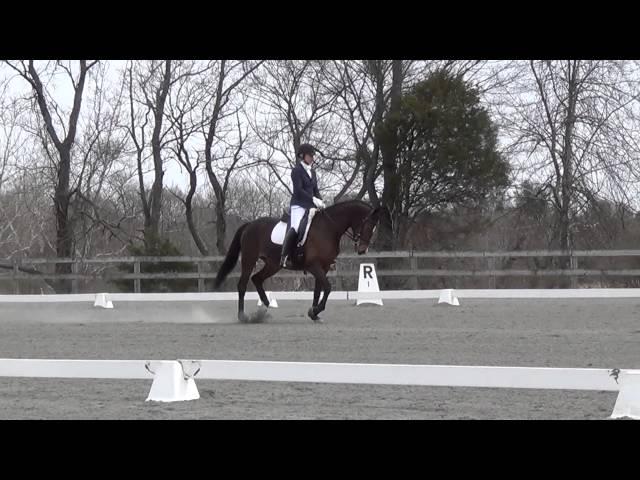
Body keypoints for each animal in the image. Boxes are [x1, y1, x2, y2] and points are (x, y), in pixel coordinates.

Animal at [212, 199, 382, 322]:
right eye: (368, 225)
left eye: (375, 227)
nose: (362, 250)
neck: (328, 228)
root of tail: (249, 225)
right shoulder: (314, 266)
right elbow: (327, 288)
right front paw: (315, 310)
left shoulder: (324, 267)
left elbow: (318, 290)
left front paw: (314, 314)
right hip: (249, 259)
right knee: (242, 285)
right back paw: (243, 316)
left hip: (273, 264)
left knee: (257, 279)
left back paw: (264, 310)